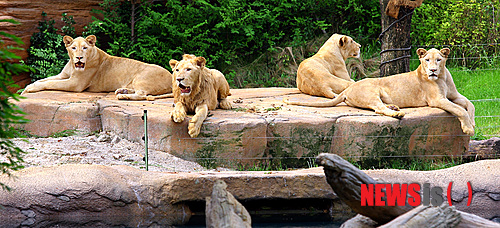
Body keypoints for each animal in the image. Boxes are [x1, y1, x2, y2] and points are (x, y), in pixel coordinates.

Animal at [21, 34, 173, 100]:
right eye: (74, 48)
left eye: (85, 48)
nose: (79, 57)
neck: (73, 65)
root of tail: (172, 77)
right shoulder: (62, 76)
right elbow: (43, 80)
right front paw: (27, 88)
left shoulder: (75, 83)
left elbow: (50, 83)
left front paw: (29, 89)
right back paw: (122, 91)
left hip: (142, 77)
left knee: (143, 94)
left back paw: (124, 96)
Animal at [286, 48, 476, 136]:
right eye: (427, 60)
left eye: (439, 60)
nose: (433, 71)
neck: (442, 77)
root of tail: (348, 89)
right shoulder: (437, 100)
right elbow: (460, 110)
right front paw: (468, 129)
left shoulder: (454, 95)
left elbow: (470, 104)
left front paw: (472, 122)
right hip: (371, 92)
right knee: (378, 109)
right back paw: (397, 114)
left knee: (381, 107)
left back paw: (394, 107)